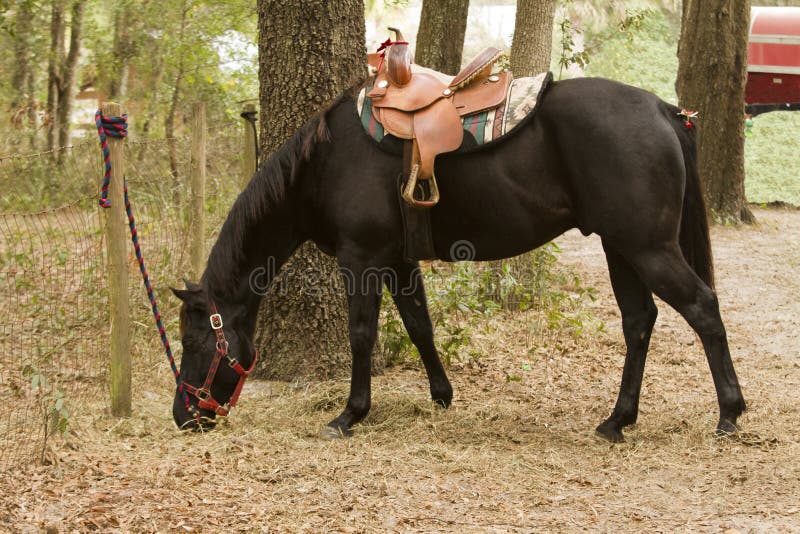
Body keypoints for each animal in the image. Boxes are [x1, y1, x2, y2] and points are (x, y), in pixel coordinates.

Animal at [172, 76, 748, 444]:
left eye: (195, 342)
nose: (185, 416)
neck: (326, 162)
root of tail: (665, 110)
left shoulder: (362, 259)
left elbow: (362, 335)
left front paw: (350, 415)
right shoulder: (399, 262)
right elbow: (419, 325)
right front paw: (442, 395)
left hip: (648, 248)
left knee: (702, 308)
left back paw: (729, 413)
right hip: (621, 248)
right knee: (639, 322)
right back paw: (618, 421)